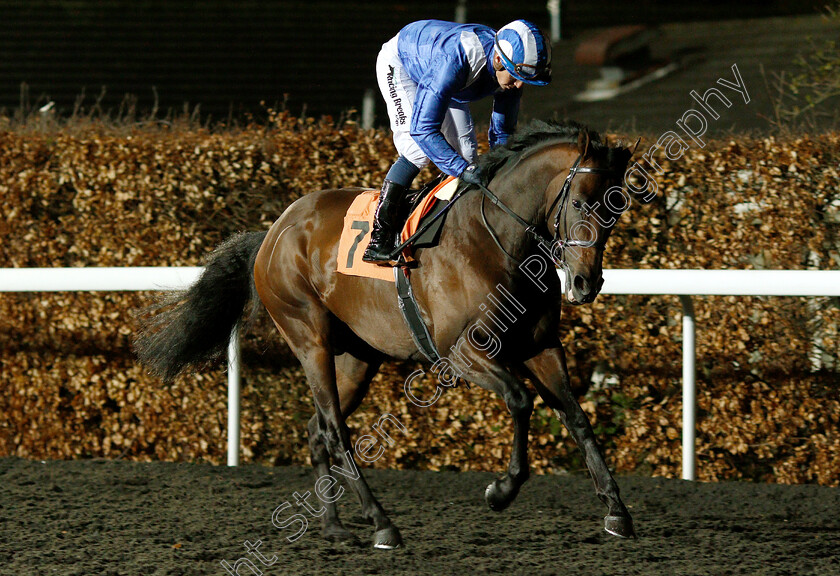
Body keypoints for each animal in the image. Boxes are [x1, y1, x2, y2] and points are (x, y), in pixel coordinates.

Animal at [136, 119, 636, 548]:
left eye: (617, 206)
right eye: (579, 202)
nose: (585, 283)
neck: (495, 241)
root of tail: (273, 232)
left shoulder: (541, 346)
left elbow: (576, 415)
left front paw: (617, 511)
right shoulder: (461, 352)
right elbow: (519, 400)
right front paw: (502, 489)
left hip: (358, 357)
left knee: (317, 428)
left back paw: (332, 525)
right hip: (309, 337)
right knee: (335, 429)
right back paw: (381, 524)